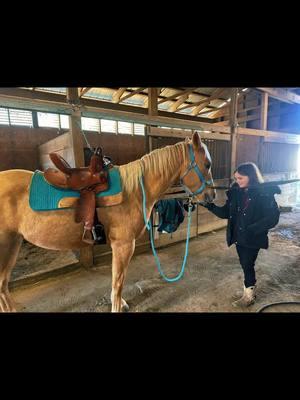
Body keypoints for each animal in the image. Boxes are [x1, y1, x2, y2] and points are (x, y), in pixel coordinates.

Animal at [0, 131, 216, 312]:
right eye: (207, 164)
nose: (211, 196)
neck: (135, 190)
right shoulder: (124, 245)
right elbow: (118, 281)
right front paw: (117, 306)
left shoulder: (119, 246)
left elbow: (116, 279)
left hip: (13, 244)